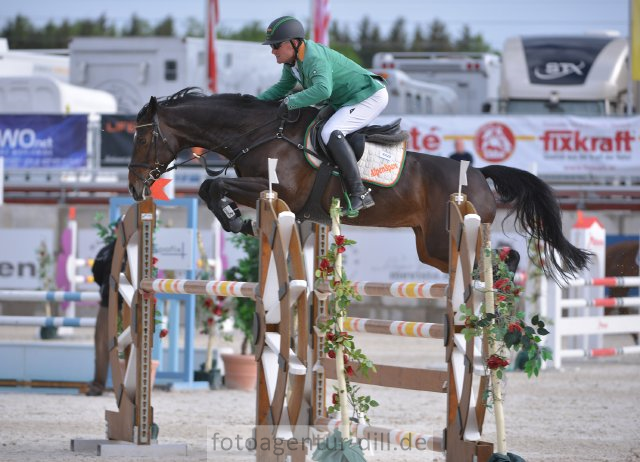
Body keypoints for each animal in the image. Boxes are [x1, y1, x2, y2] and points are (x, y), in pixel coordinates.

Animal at [127, 88, 592, 280]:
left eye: (143, 137)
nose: (134, 188)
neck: (257, 132)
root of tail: (479, 175)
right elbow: (210, 190)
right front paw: (237, 221)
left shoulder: (278, 190)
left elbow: (213, 189)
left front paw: (236, 221)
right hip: (431, 248)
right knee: (495, 261)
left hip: (448, 238)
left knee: (502, 261)